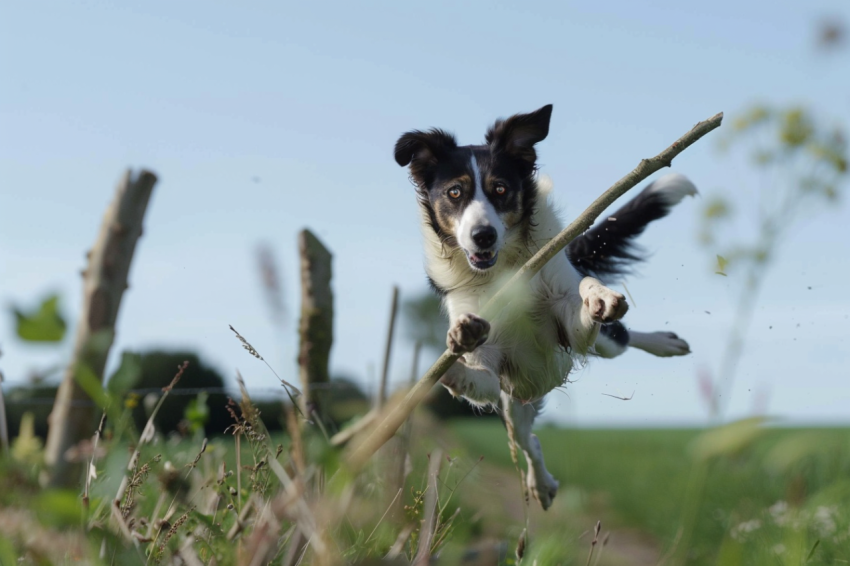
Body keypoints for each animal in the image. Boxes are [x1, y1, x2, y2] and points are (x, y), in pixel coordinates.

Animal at [394, 105, 692, 510]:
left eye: (500, 189)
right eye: (454, 192)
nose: (483, 236)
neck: (503, 271)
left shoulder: (570, 327)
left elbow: (583, 292)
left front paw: (598, 296)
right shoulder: (492, 374)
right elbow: (475, 376)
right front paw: (452, 359)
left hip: (601, 347)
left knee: (622, 337)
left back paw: (666, 342)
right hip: (514, 403)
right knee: (529, 441)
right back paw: (542, 483)